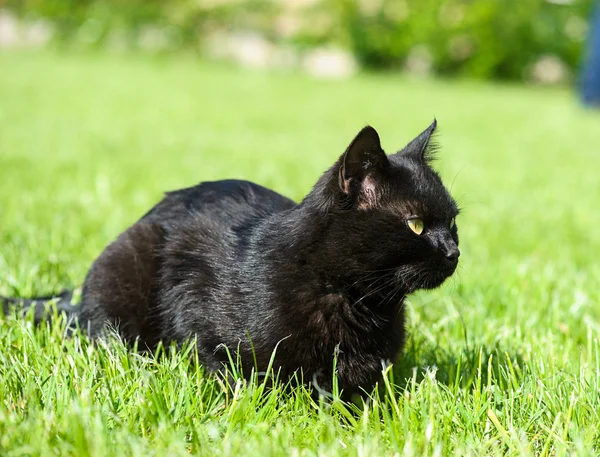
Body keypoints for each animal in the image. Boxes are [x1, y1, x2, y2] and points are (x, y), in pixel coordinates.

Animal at [2, 121, 460, 396]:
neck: (357, 301)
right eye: (416, 224)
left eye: (453, 221)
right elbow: (234, 374)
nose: (454, 252)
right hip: (127, 258)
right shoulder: (196, 298)